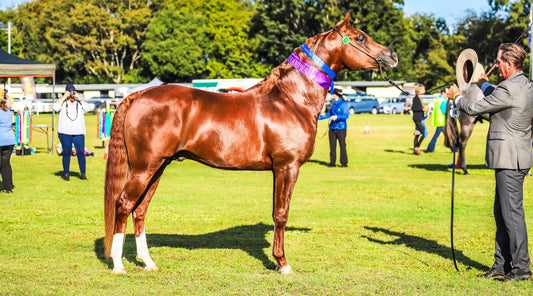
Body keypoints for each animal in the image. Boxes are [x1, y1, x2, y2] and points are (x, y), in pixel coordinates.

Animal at [103, 13, 394, 272]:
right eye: (360, 37)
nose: (392, 56)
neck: (290, 99)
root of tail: (138, 95)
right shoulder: (287, 167)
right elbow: (281, 214)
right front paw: (282, 264)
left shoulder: (280, 169)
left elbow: (277, 212)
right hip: (144, 169)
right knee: (124, 205)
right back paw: (118, 265)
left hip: (158, 167)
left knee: (140, 210)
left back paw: (148, 263)